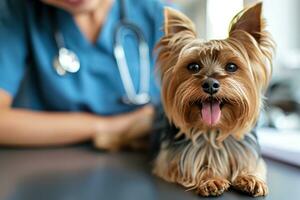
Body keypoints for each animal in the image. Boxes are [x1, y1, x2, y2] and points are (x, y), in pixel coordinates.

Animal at [154, 1, 276, 197]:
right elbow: (192, 164)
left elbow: (252, 163)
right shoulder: (171, 160)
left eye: (232, 67)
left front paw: (250, 176)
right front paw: (210, 178)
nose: (210, 84)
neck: (212, 131)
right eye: (193, 66)